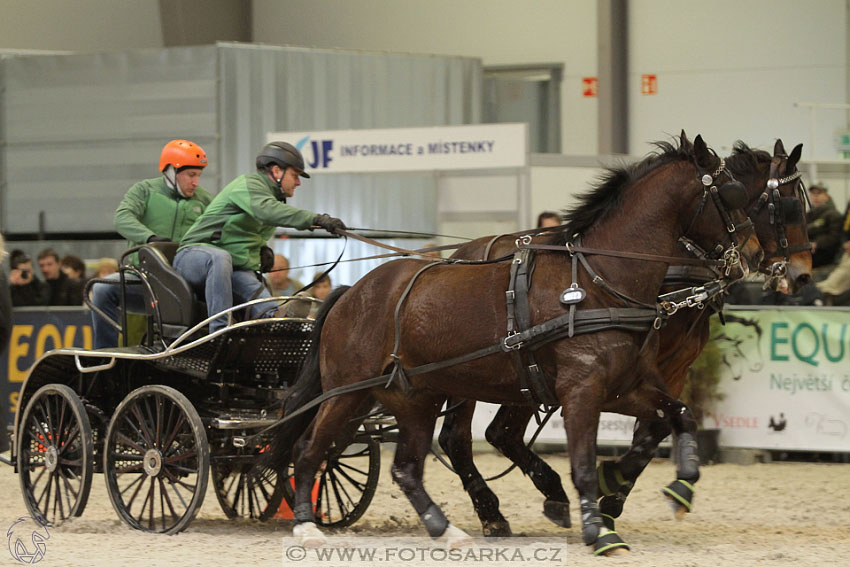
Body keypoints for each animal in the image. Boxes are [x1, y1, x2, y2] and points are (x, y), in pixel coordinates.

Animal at [272, 132, 760, 556]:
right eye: (734, 193)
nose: (752, 254)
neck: (597, 281)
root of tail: (350, 291)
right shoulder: (581, 391)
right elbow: (583, 464)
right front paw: (600, 531)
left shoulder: (627, 387)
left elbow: (680, 415)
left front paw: (679, 487)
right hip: (346, 393)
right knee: (310, 451)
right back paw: (308, 526)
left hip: (412, 399)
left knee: (406, 468)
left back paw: (447, 530)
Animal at [438, 139, 808, 540]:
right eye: (789, 206)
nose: (802, 275)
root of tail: (459, 254)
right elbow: (654, 426)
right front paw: (611, 487)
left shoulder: (670, 371)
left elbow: (660, 425)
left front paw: (614, 497)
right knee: (462, 437)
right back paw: (493, 511)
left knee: (500, 433)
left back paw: (545, 495)